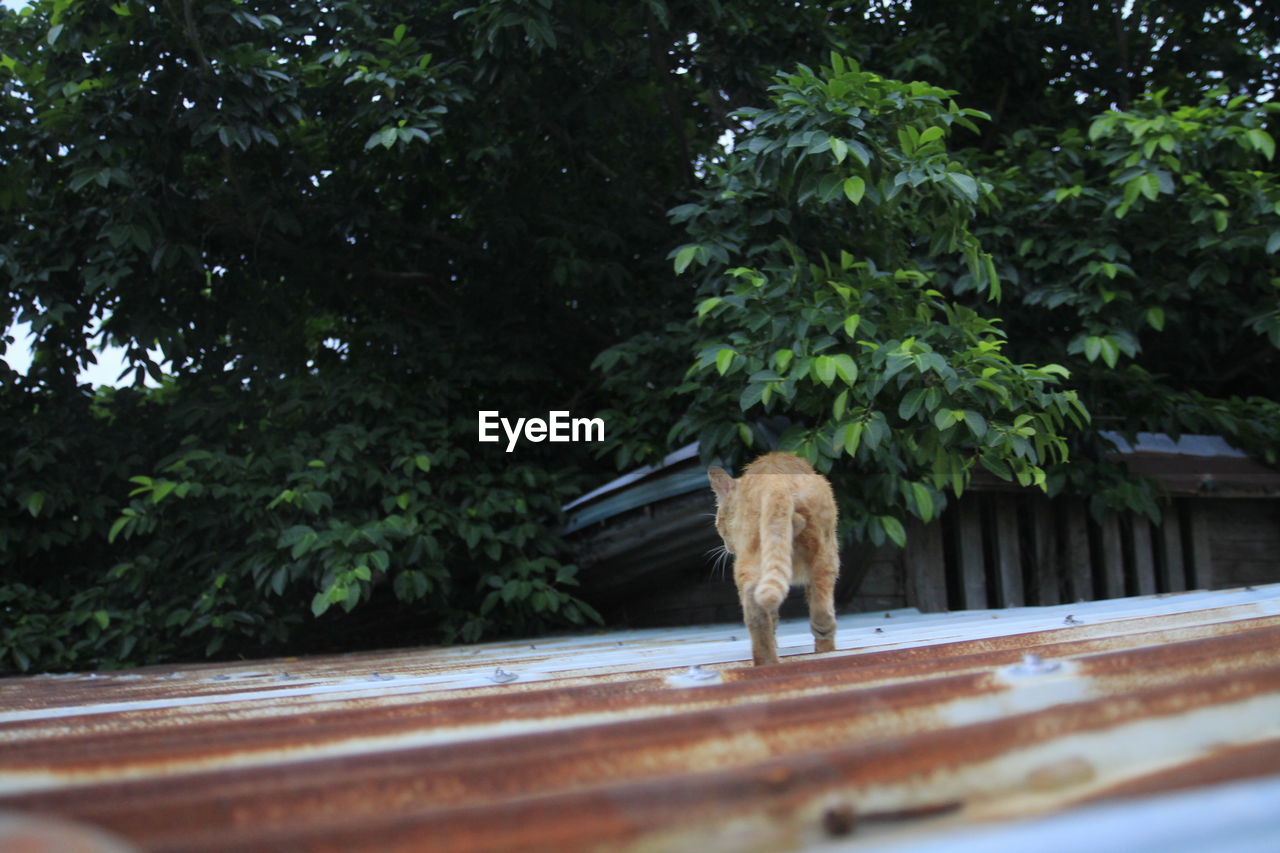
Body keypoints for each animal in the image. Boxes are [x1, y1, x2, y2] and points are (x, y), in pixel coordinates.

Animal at [711, 450, 839, 666]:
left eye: (718, 524)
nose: (727, 547)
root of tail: (775, 480)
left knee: (756, 609)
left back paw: (766, 662)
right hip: (826, 550)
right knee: (822, 606)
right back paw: (825, 645)